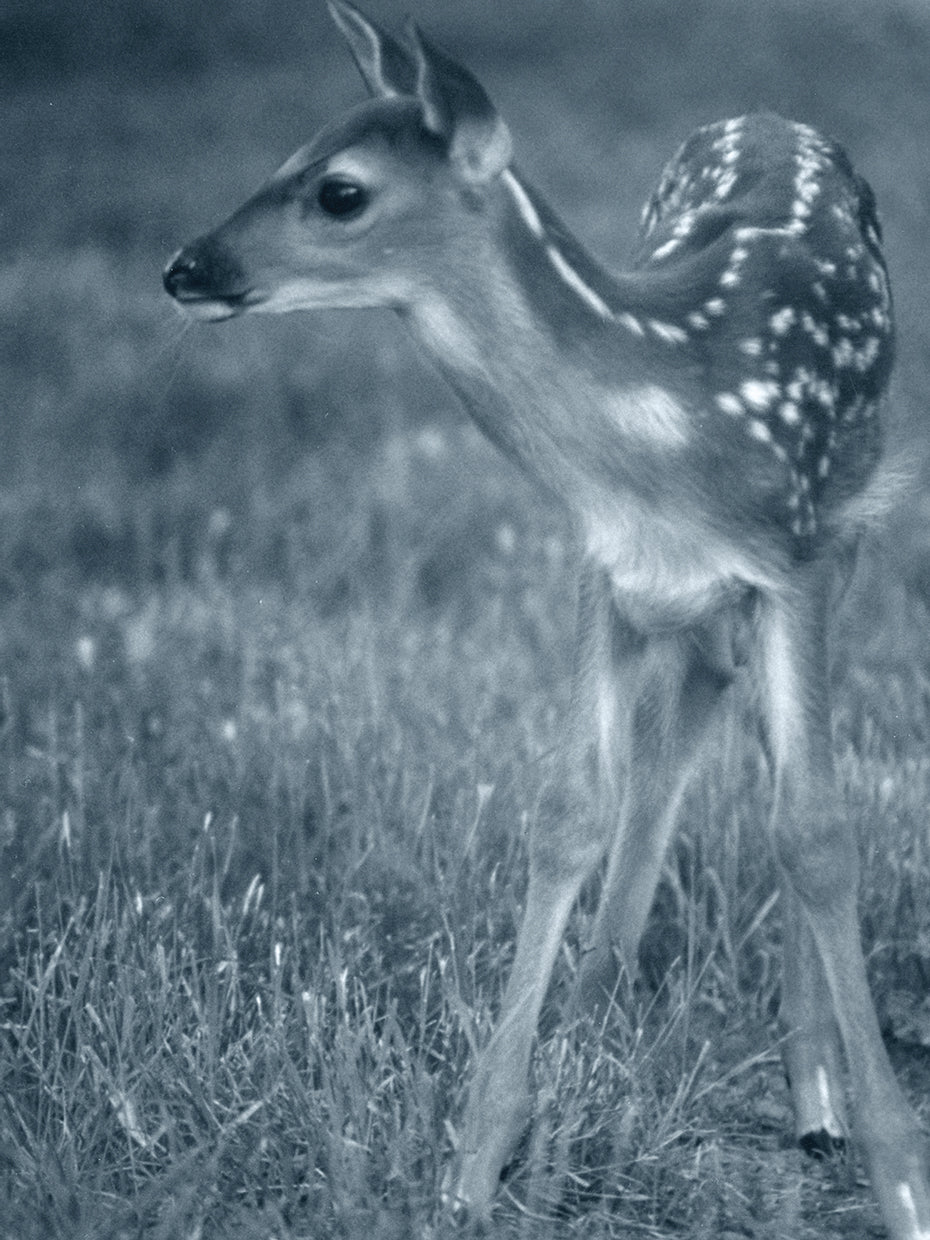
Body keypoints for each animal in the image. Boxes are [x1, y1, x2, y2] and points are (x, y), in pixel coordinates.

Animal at [163, 3, 930, 1235]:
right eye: (288, 150)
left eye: (339, 190)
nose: (186, 266)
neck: (669, 416)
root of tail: (772, 115)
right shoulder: (602, 568)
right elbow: (570, 812)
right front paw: (481, 1157)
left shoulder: (800, 557)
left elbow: (813, 829)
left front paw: (898, 1171)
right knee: (688, 724)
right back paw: (591, 1040)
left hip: (853, 522)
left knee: (769, 753)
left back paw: (812, 1091)